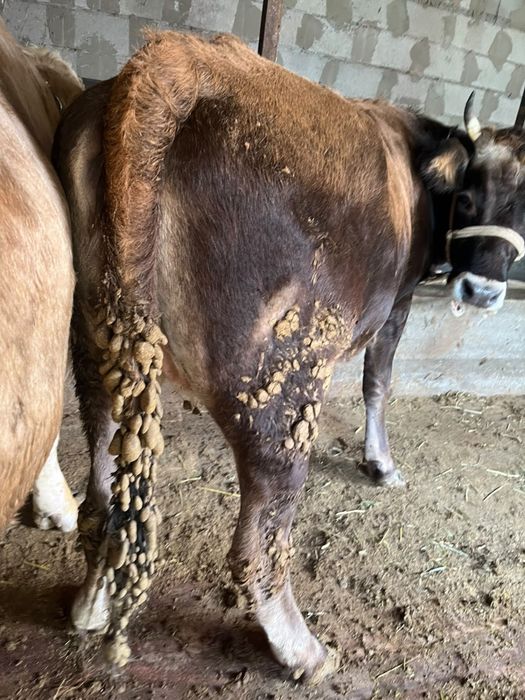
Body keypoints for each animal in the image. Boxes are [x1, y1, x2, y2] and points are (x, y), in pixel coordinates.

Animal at [53, 31, 525, 681]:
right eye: (471, 197)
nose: (483, 291)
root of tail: (181, 61)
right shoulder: (398, 302)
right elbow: (379, 381)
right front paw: (381, 464)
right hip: (280, 383)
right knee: (260, 533)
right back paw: (302, 649)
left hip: (98, 345)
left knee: (104, 481)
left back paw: (92, 600)